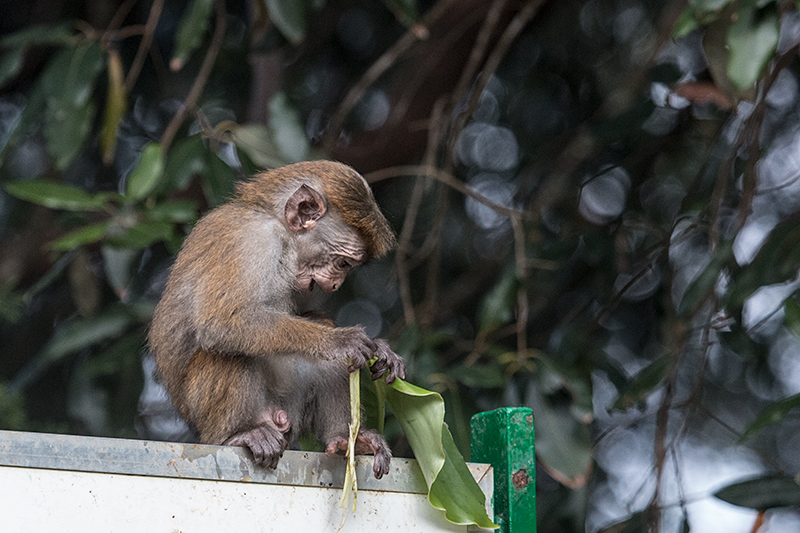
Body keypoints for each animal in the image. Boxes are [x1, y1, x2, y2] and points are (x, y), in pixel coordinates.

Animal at [149, 159, 404, 478]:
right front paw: (342, 340)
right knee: (228, 353)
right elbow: (221, 323)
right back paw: (239, 435)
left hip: (291, 409)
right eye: (344, 263)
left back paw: (346, 440)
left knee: (328, 364)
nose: (335, 285)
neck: (278, 226)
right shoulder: (252, 240)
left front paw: (378, 348)